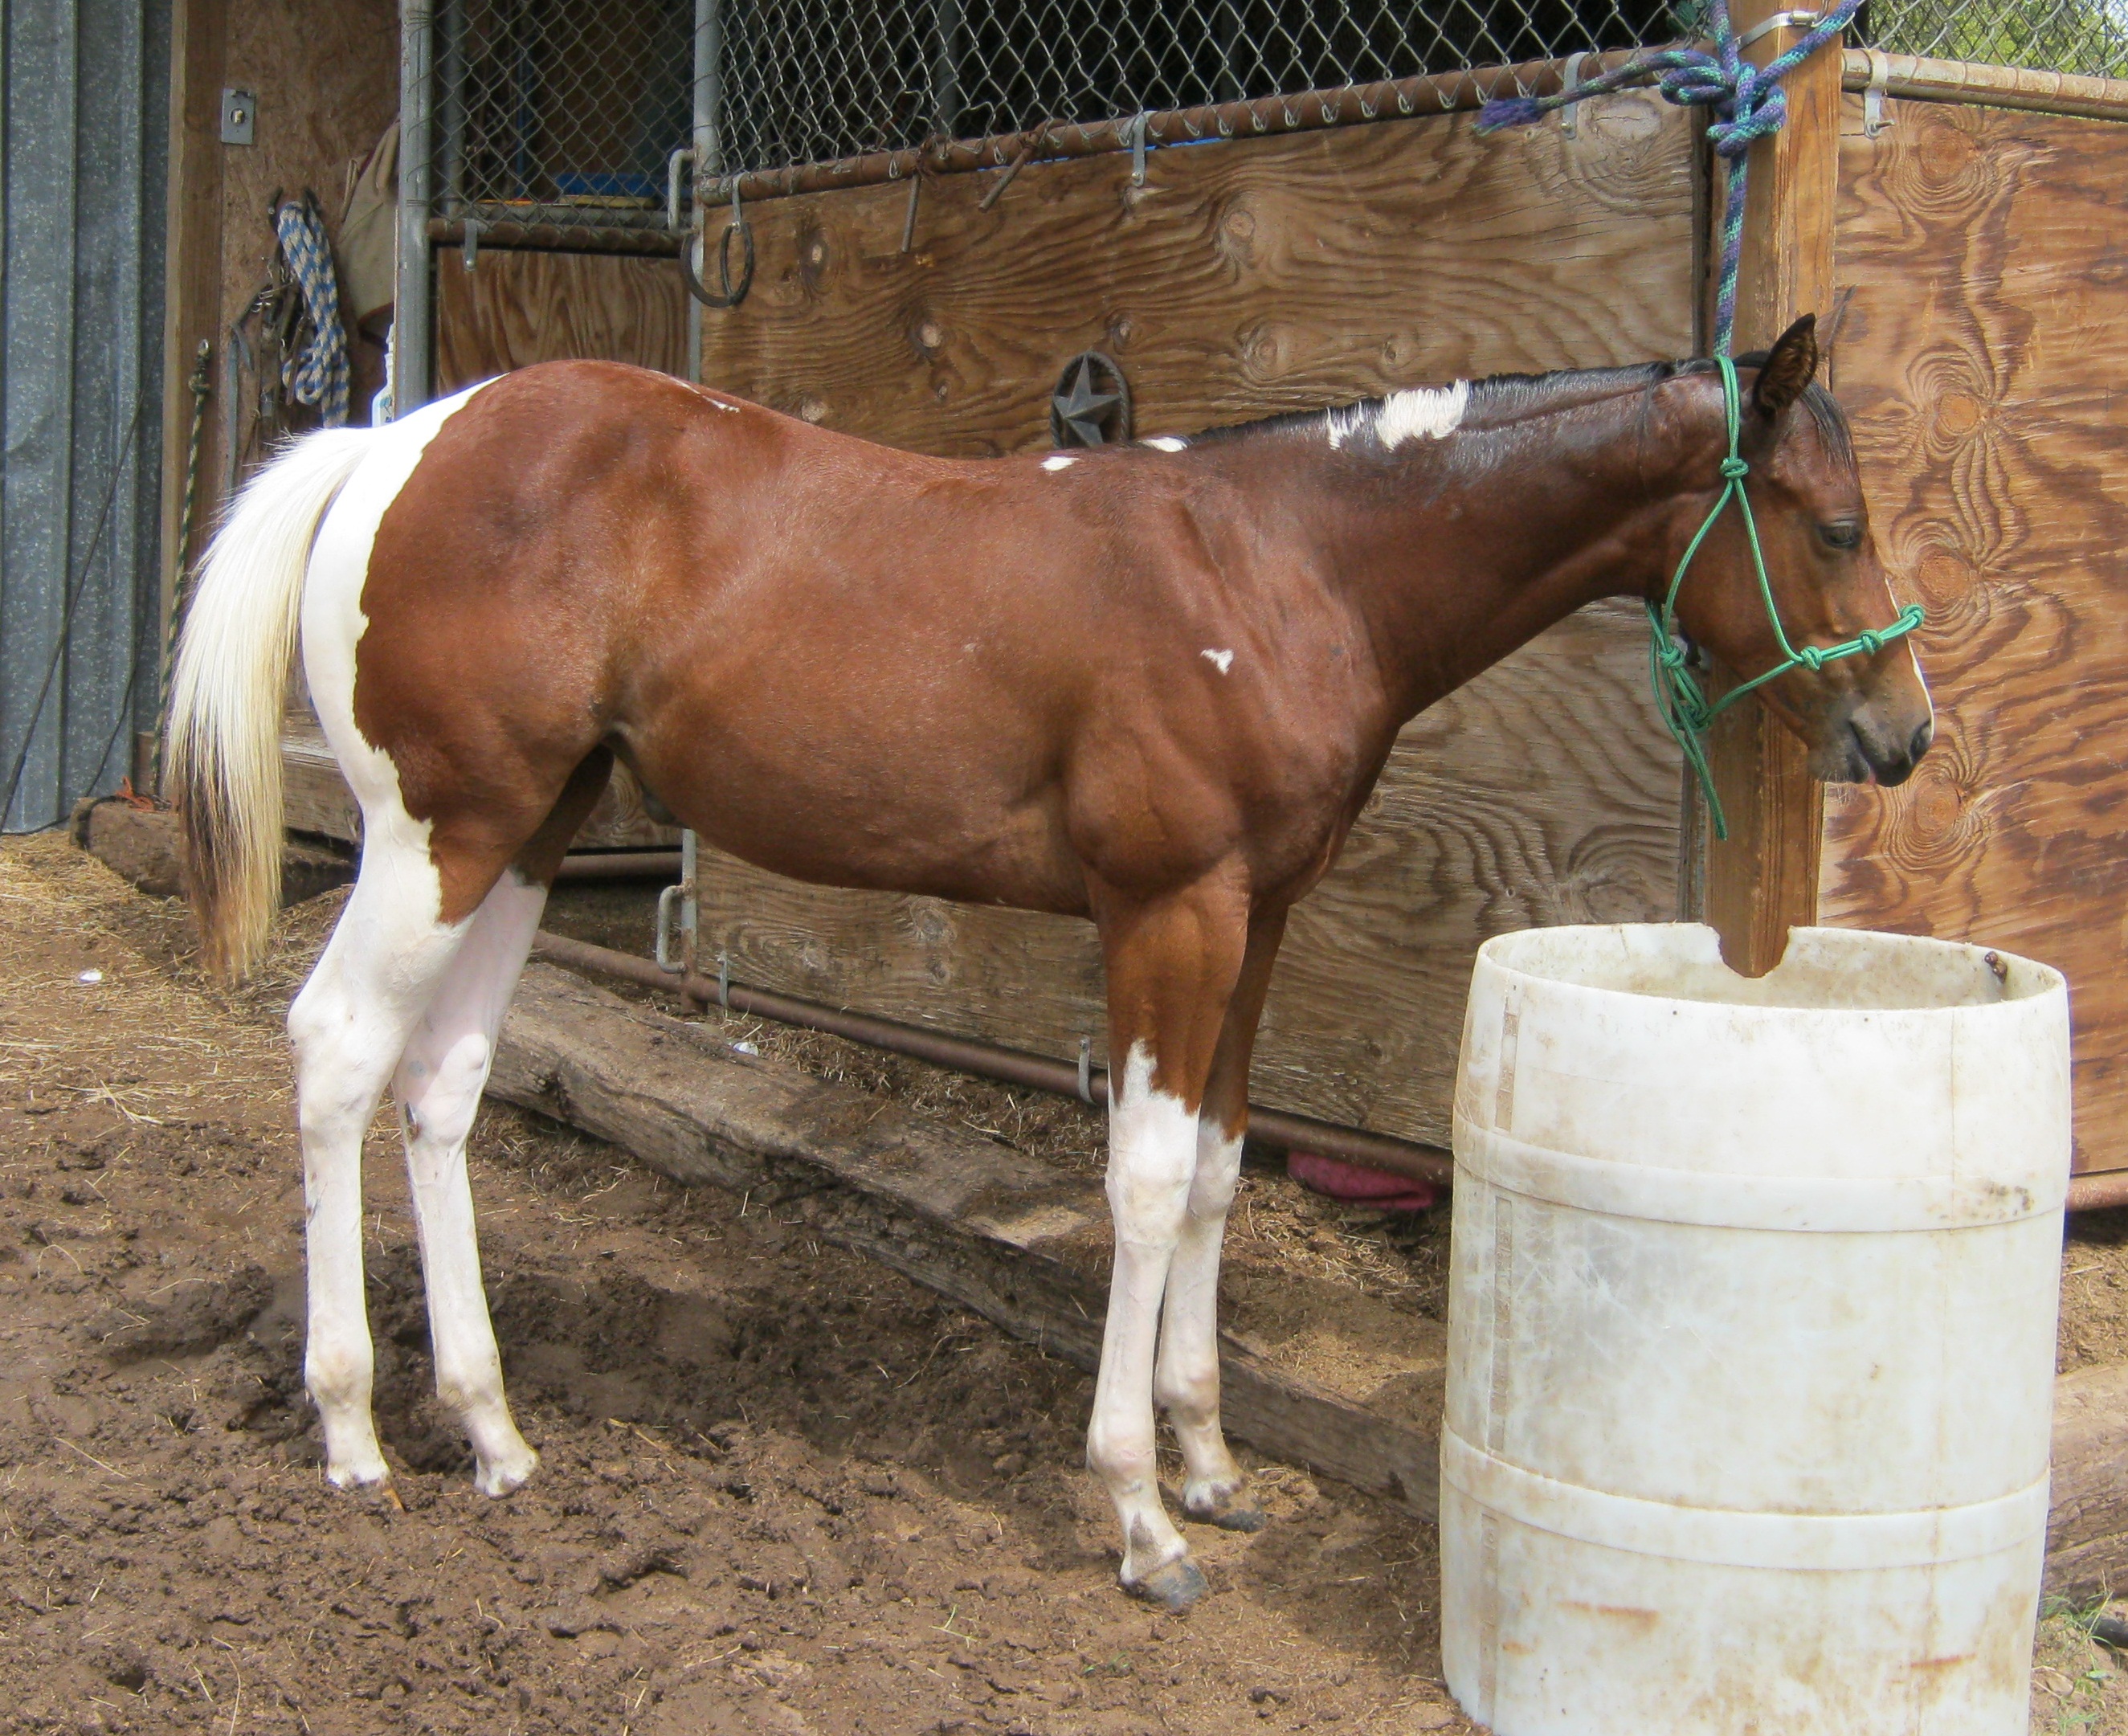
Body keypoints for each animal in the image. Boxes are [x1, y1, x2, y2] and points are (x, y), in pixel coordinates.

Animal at [168, 312, 1931, 1611]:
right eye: (1832, 524)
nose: (1898, 734)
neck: (1283, 566)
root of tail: (392, 444)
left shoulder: (1258, 919)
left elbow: (1216, 1167)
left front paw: (1209, 1464)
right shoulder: (1169, 911)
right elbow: (1142, 1183)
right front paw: (1139, 1518)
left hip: (529, 832)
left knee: (443, 1087)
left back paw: (491, 1429)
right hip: (437, 834)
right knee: (335, 1051)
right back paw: (351, 1433)